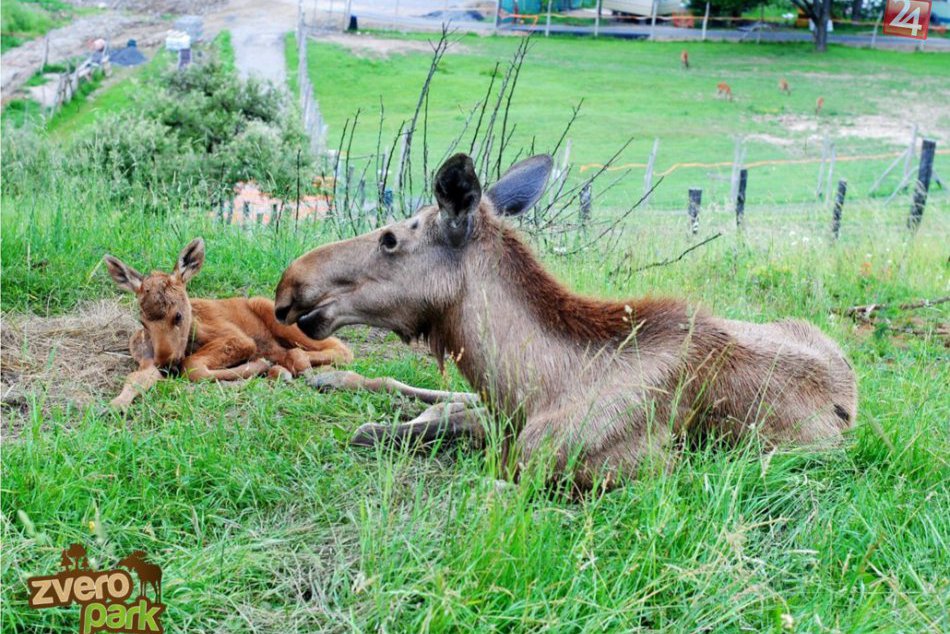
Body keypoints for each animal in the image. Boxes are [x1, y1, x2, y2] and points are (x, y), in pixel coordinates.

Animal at [104, 235, 356, 408]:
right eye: (143, 322)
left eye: (178, 315)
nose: (165, 362)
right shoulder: (147, 360)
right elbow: (136, 378)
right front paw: (115, 405)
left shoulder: (239, 338)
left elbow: (194, 367)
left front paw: (258, 365)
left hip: (279, 318)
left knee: (341, 349)